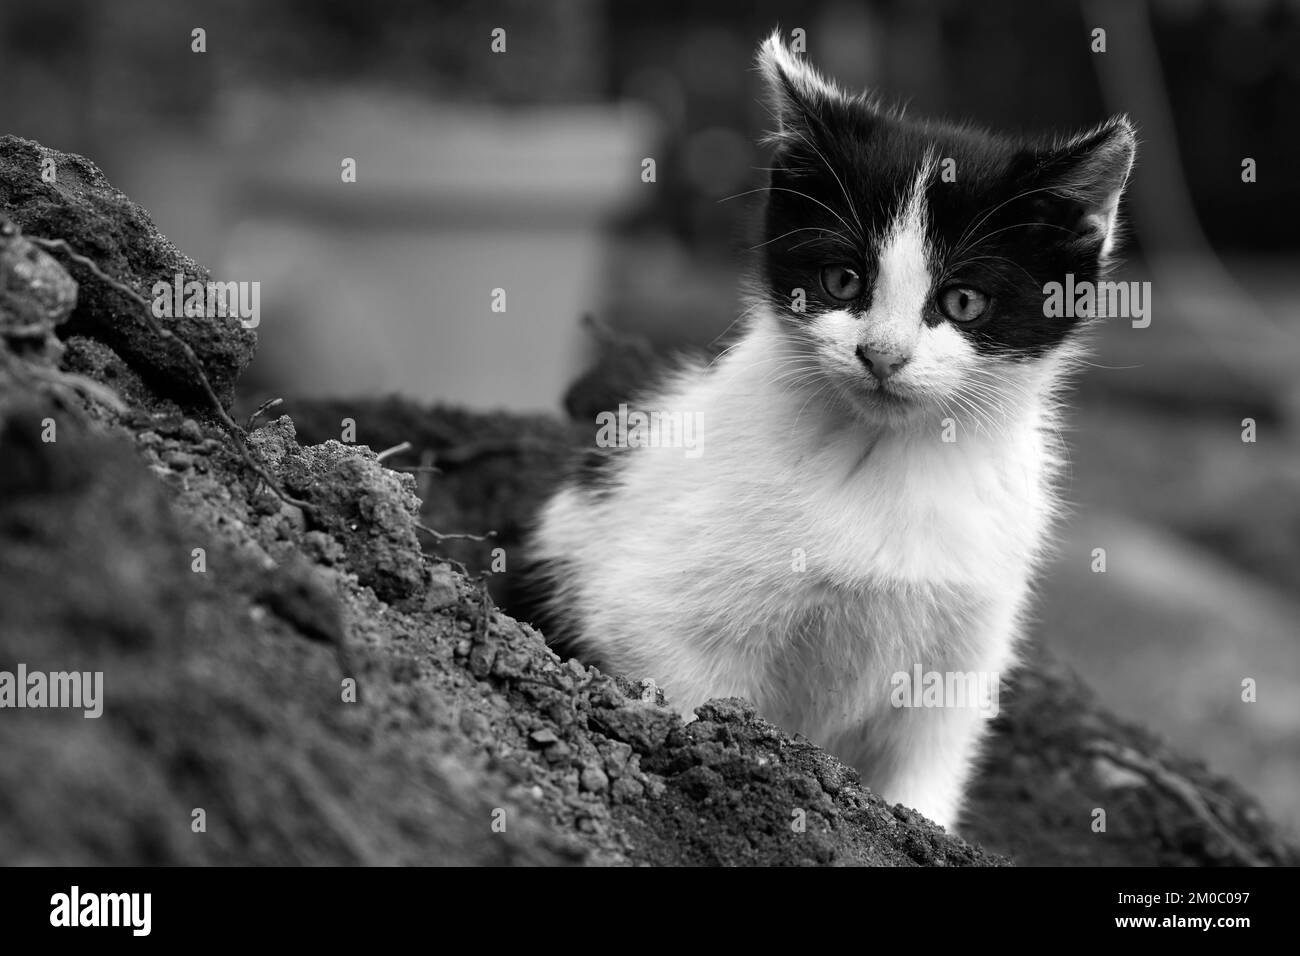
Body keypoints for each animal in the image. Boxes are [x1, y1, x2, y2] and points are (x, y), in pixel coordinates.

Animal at [522, 33, 1133, 832]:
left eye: (963, 301)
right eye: (842, 281)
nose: (882, 354)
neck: (891, 456)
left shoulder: (962, 650)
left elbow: (926, 770)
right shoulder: (645, 611)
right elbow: (685, 694)